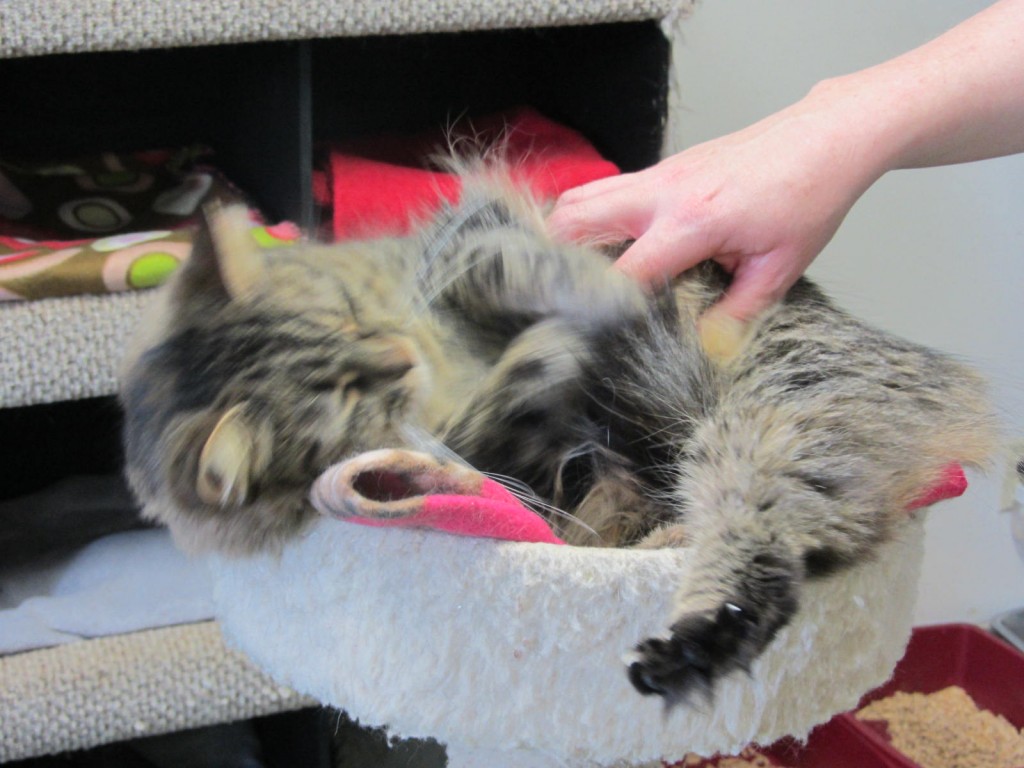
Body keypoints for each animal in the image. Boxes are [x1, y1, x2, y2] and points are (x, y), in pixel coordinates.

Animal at [121, 169, 999, 708]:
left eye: (350, 317)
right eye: (351, 397)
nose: (398, 357)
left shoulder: (479, 233)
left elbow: (506, 263)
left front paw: (595, 289)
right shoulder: (506, 452)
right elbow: (515, 407)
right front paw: (549, 353)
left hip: (780, 400)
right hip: (772, 434)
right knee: (775, 545)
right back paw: (692, 632)